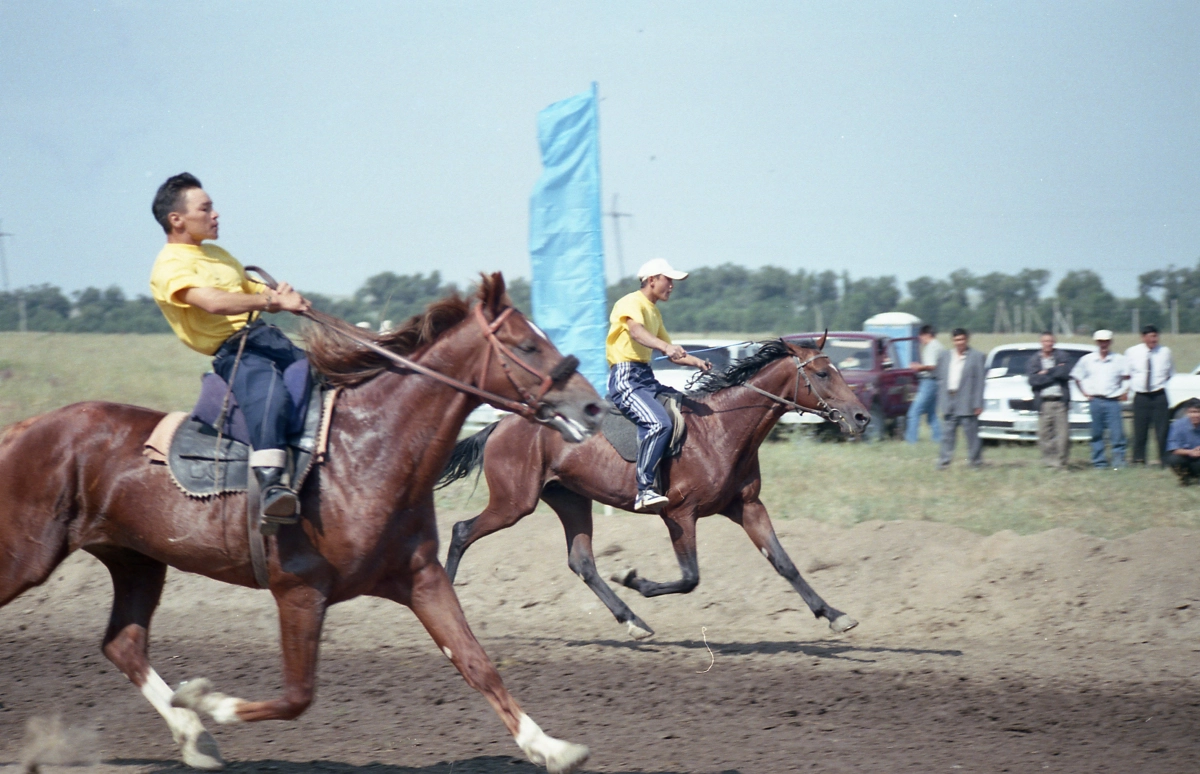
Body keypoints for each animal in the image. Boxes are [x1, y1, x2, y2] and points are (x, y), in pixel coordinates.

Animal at [0, 274, 600, 772]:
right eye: (526, 345)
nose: (594, 407)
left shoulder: (421, 578)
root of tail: (27, 427)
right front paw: (206, 698)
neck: (366, 452)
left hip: (136, 561)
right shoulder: (299, 592)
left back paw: (195, 740)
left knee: (122, 644)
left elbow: (478, 664)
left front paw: (550, 747)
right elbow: (296, 696)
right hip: (30, 556)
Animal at [441, 338, 873, 638]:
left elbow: (784, 563)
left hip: (570, 500)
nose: (861, 417)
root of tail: (503, 423)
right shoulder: (678, 514)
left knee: (582, 562)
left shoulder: (747, 506)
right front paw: (634, 580)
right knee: (461, 530)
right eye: (822, 374)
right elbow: (689, 577)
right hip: (514, 502)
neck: (721, 429)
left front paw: (834, 615)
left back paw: (632, 621)